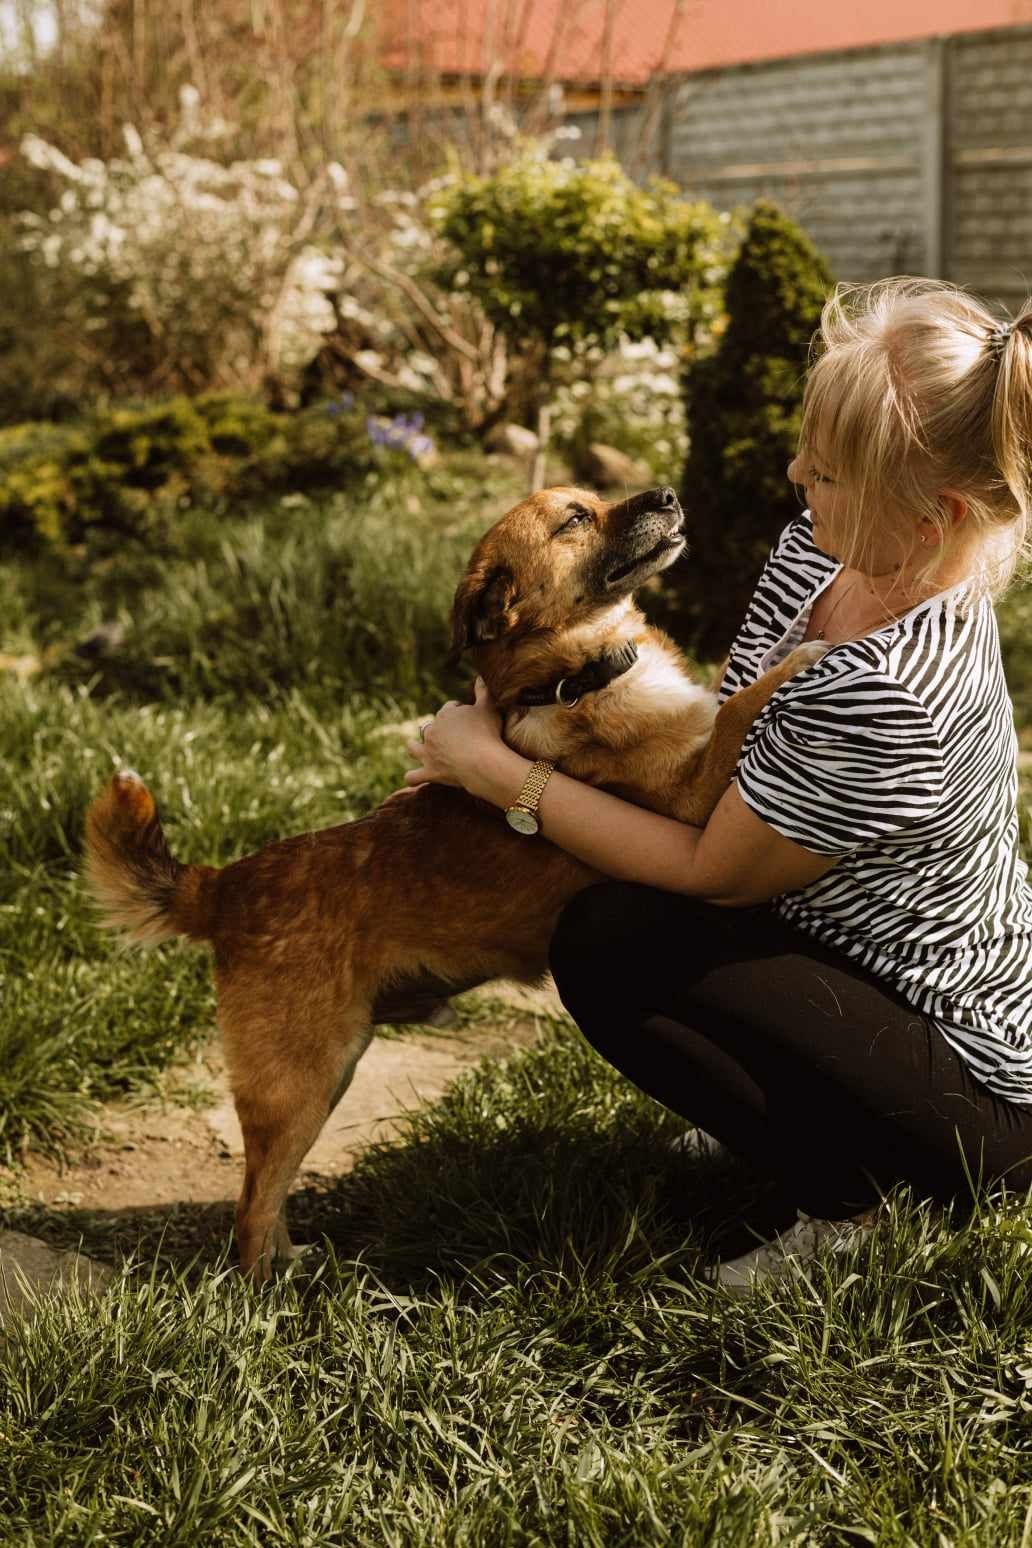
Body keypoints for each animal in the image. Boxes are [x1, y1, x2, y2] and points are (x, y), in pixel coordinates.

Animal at [82, 486, 823, 1281]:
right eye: (576, 519)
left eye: (596, 498)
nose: (667, 493)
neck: (572, 675)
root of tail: (226, 884)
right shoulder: (692, 801)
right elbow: (739, 710)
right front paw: (808, 654)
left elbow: (729, 701)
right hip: (300, 1079)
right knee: (251, 1209)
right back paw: (267, 1299)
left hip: (330, 1072)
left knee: (269, 1195)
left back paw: (296, 1264)